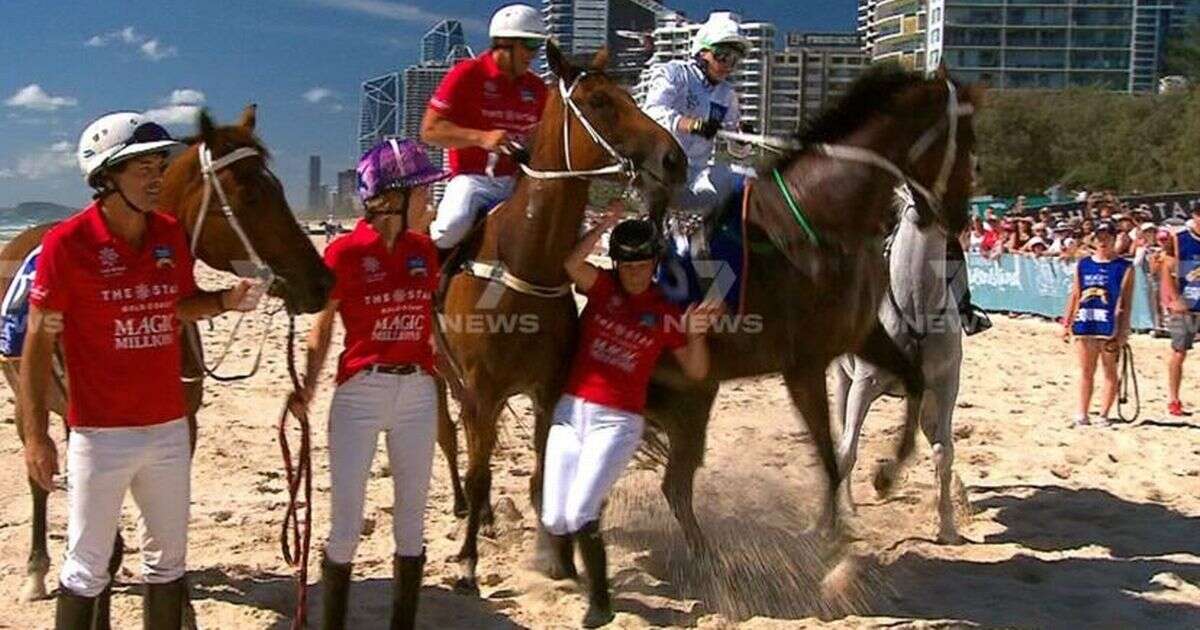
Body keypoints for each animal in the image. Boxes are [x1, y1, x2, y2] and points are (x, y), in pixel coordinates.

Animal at [1, 104, 333, 609]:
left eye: (278, 187)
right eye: (251, 193)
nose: (322, 282)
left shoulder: (182, 427)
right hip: (24, 400)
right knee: (38, 478)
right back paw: (36, 570)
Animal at [439, 44, 686, 590]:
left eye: (629, 93)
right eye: (599, 101)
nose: (674, 159)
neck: (524, 260)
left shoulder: (547, 388)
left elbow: (541, 471)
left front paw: (558, 556)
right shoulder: (482, 386)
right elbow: (480, 470)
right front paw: (467, 561)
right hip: (439, 373)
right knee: (451, 438)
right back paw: (467, 509)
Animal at [643, 65, 979, 549]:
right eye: (968, 142)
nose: (959, 217)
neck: (817, 221)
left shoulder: (868, 345)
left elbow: (912, 394)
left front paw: (886, 476)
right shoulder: (806, 366)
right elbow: (832, 452)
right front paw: (829, 534)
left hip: (693, 394)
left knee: (675, 483)